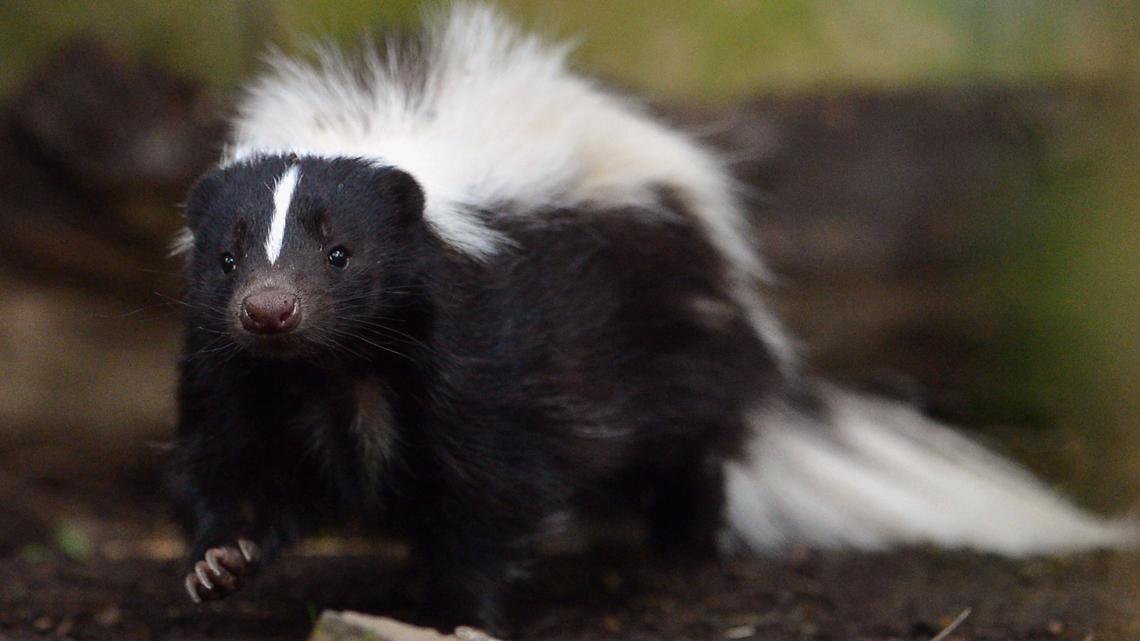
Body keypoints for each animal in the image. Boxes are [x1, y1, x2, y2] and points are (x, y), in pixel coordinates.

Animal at [171, 3, 1140, 629]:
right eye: (228, 257)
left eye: (342, 254)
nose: (270, 307)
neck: (342, 368)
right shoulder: (238, 371)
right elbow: (234, 462)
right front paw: (221, 562)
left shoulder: (489, 352)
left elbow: (493, 485)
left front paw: (458, 609)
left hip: (671, 338)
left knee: (692, 451)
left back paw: (683, 542)